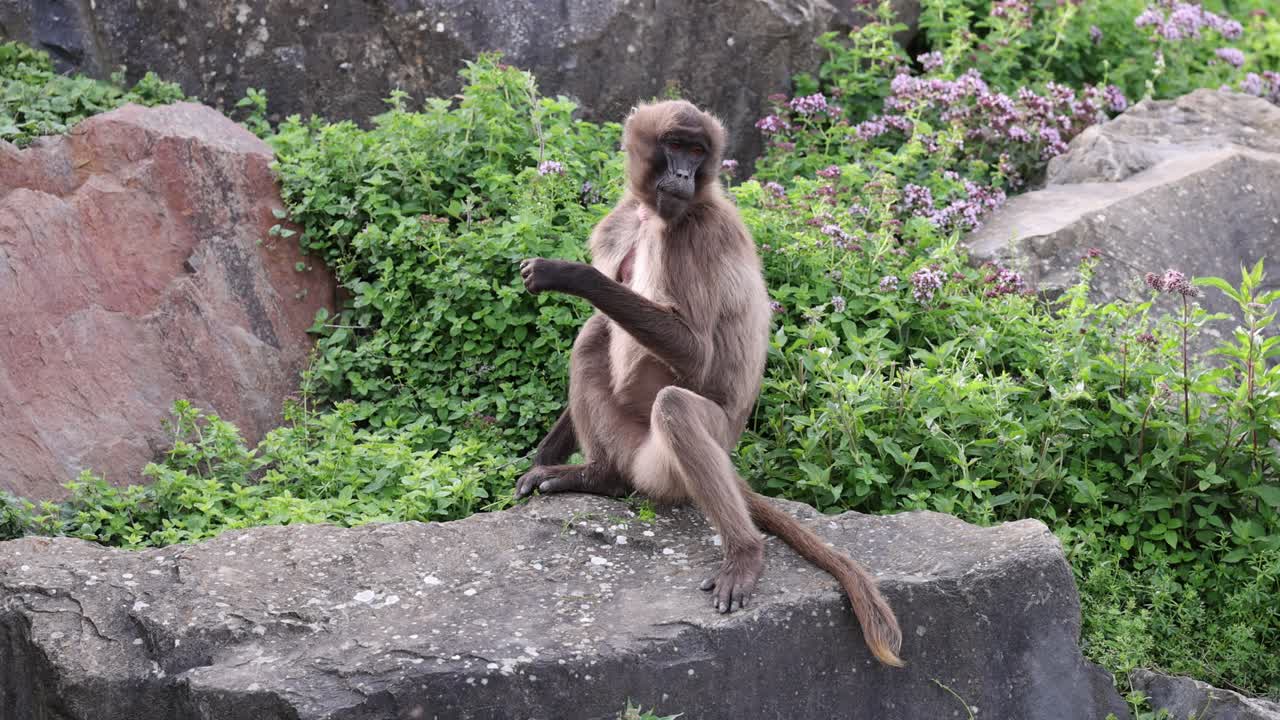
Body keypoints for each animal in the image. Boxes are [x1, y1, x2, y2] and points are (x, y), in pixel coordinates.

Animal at [515, 100, 903, 667]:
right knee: (592, 338)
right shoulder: (618, 223)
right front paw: (541, 461)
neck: (653, 217)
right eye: (675, 146)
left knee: (673, 405)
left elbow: (695, 352)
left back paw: (744, 555)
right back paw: (598, 477)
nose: (682, 175)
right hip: (631, 446)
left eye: (698, 152)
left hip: (670, 463)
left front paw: (569, 275)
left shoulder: (692, 235)